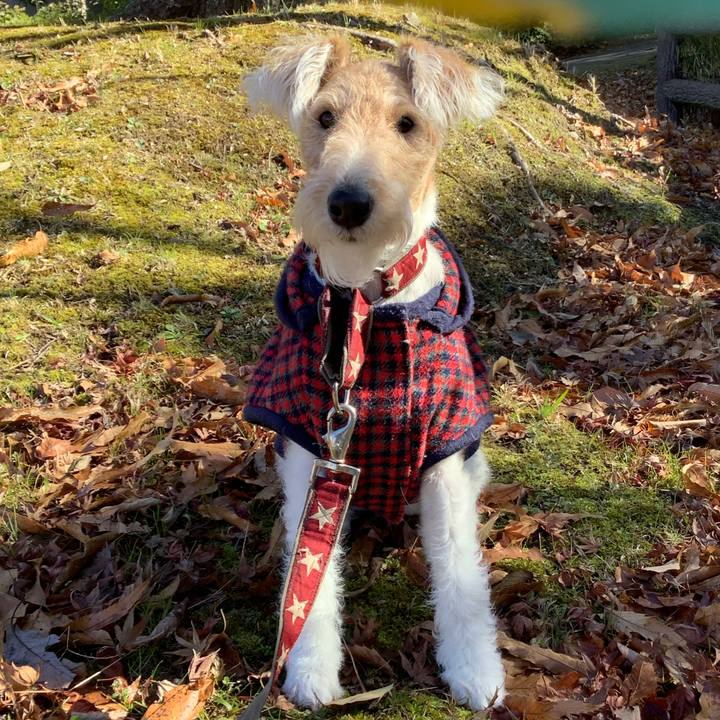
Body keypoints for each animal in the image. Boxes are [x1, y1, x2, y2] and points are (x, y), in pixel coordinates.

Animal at [242, 35, 506, 711]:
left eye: (407, 124)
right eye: (324, 117)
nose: (348, 203)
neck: (368, 305)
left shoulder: (446, 452)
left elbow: (460, 572)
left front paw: (476, 670)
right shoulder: (311, 446)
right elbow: (310, 567)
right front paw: (309, 668)